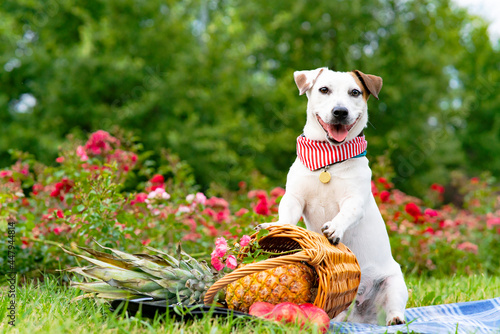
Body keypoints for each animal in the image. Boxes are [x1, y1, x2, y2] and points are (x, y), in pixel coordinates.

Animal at [260, 68, 408, 326]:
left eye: (355, 92)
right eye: (324, 89)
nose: (340, 111)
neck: (329, 160)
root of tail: (360, 315)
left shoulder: (354, 201)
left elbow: (346, 213)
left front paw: (334, 229)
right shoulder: (294, 198)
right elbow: (287, 215)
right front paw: (277, 227)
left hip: (394, 284)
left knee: (394, 307)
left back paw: (395, 319)